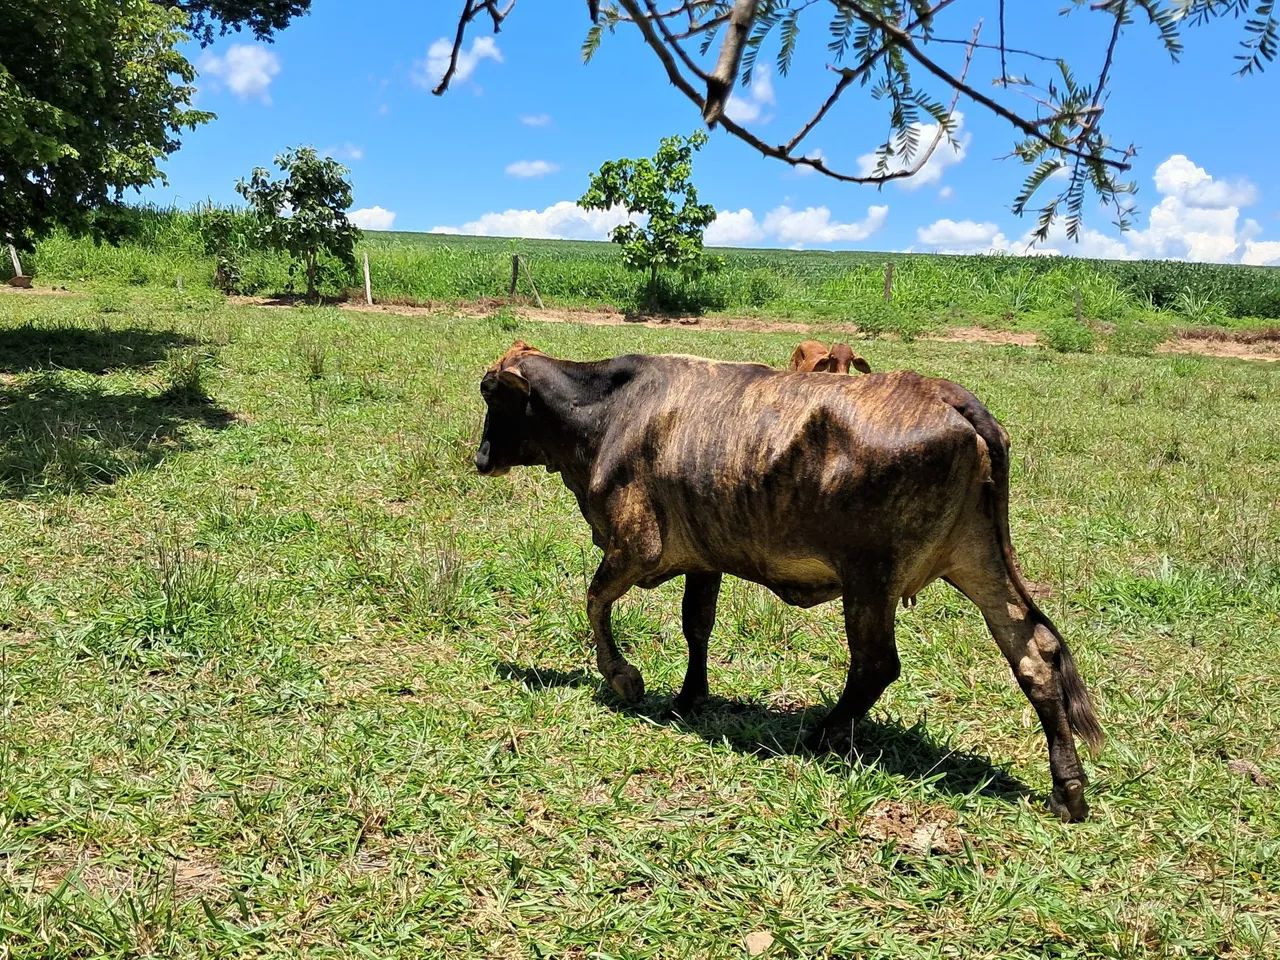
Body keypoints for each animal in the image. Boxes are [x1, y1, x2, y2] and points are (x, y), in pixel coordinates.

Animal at [475, 340, 1103, 821]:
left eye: (489, 393)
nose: (480, 459)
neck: (608, 411)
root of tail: (946, 394)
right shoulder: (705, 556)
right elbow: (696, 625)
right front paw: (690, 696)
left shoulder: (636, 547)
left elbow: (595, 600)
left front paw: (625, 679)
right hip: (976, 560)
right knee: (1035, 651)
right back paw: (1067, 789)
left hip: (870, 576)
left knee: (877, 663)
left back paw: (823, 735)